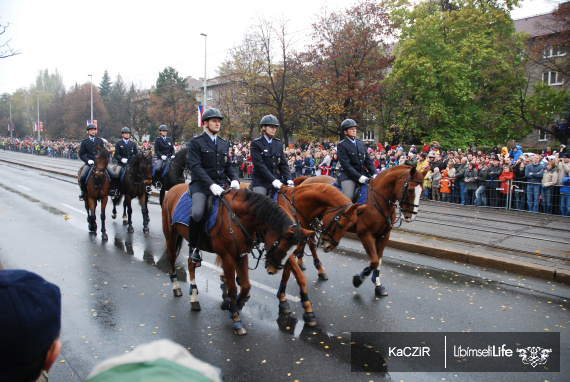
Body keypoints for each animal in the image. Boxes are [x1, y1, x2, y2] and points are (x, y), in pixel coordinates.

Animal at [160, 185, 312, 334]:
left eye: (293, 250)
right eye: (280, 249)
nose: (272, 270)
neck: (237, 218)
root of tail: (172, 189)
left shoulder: (242, 255)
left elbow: (245, 286)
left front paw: (232, 304)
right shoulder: (228, 257)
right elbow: (232, 289)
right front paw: (235, 318)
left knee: (191, 263)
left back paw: (194, 298)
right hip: (170, 235)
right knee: (172, 259)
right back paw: (176, 287)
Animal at [296, 164, 424, 296]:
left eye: (422, 191)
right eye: (410, 190)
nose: (410, 217)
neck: (378, 202)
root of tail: (307, 180)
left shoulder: (384, 236)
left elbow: (379, 260)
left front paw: (378, 284)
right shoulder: (365, 234)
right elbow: (374, 261)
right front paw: (359, 279)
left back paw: (302, 262)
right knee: (310, 243)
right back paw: (318, 269)